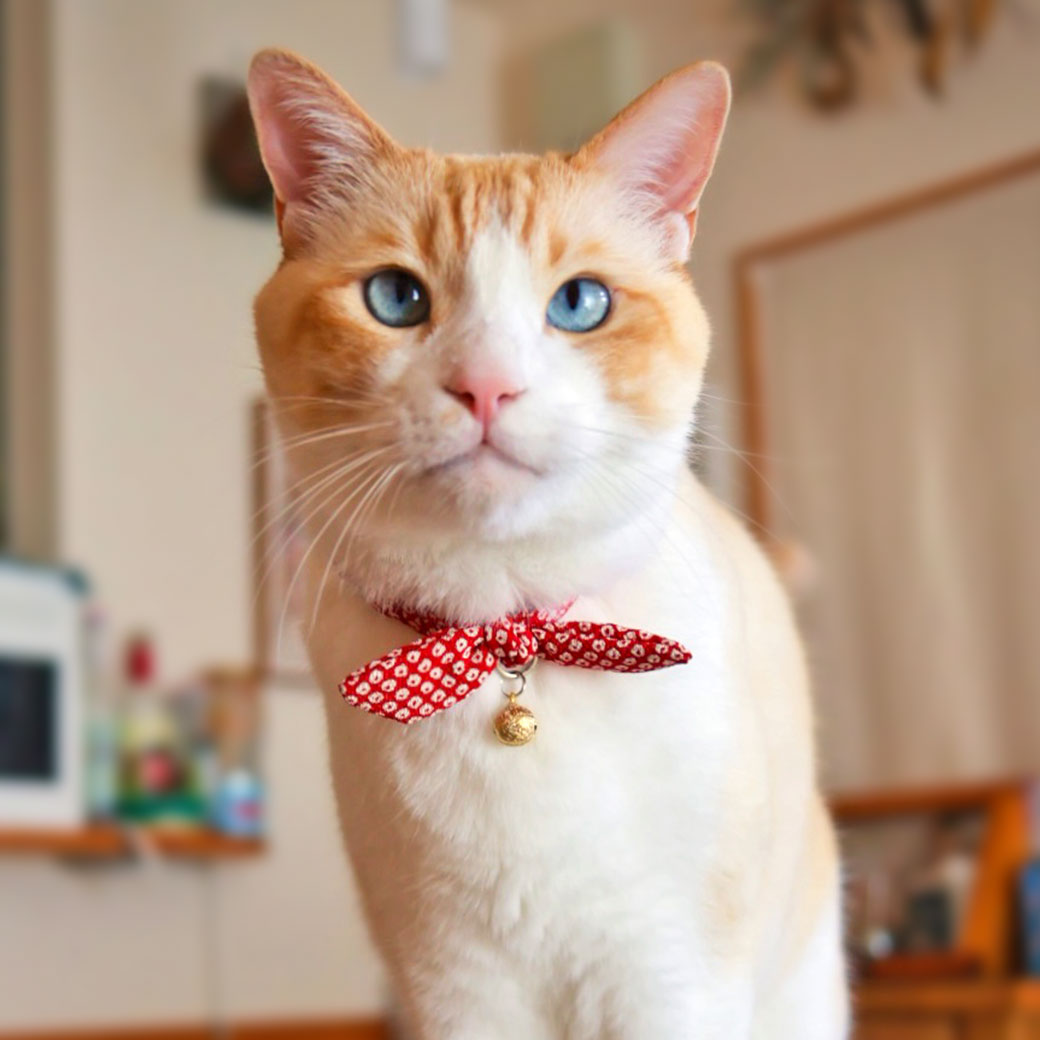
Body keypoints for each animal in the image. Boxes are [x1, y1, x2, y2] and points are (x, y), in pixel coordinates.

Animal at [247, 48, 848, 1040]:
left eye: (579, 304)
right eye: (395, 298)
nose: (486, 386)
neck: (507, 636)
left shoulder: (667, 978)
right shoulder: (453, 988)